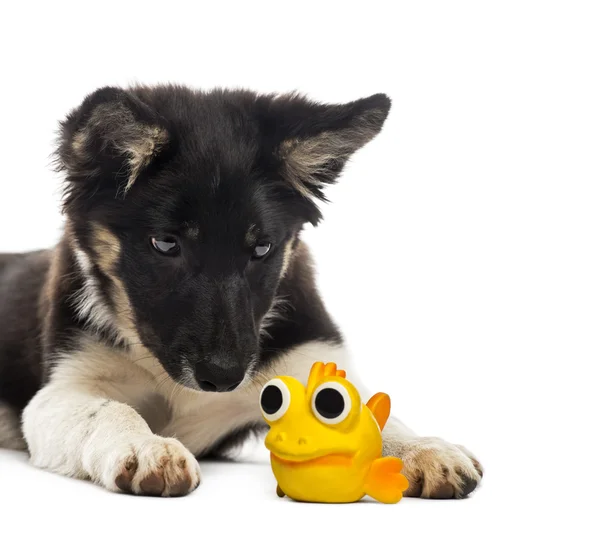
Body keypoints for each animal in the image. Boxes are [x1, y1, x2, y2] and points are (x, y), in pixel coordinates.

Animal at [0, 85, 482, 496]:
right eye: (166, 243)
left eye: (262, 248)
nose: (223, 377)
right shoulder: (60, 391)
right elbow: (109, 409)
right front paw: (146, 446)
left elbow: (369, 415)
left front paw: (424, 448)